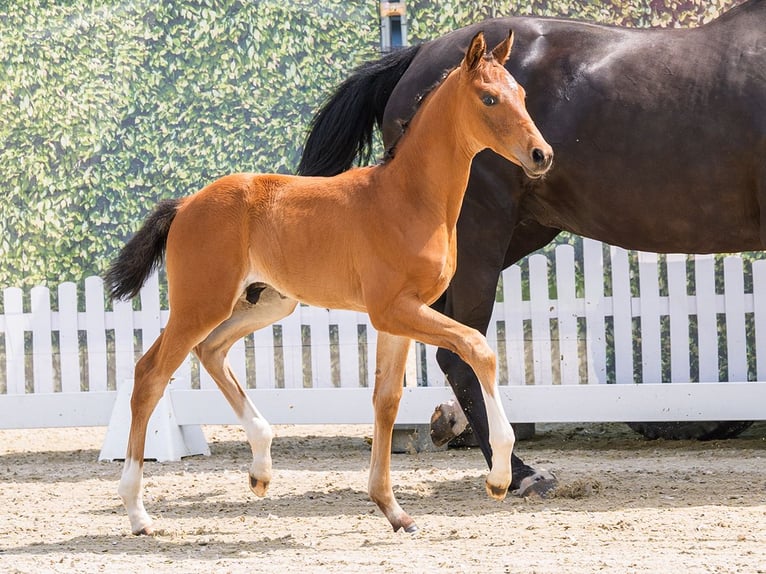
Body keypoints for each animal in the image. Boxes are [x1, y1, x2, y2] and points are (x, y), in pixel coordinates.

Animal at [104, 31, 552, 535]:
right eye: (488, 98)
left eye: (522, 94)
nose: (542, 155)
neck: (409, 198)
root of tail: (184, 205)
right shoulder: (394, 309)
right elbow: (478, 348)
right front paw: (500, 478)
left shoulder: (399, 317)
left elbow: (386, 400)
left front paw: (393, 510)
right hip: (200, 303)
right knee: (150, 374)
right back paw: (138, 512)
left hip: (267, 303)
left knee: (211, 350)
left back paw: (261, 469)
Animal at [298, 0, 766, 495]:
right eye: (490, 98)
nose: (543, 153)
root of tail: (418, 56)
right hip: (480, 239)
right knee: (458, 353)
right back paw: (519, 472)